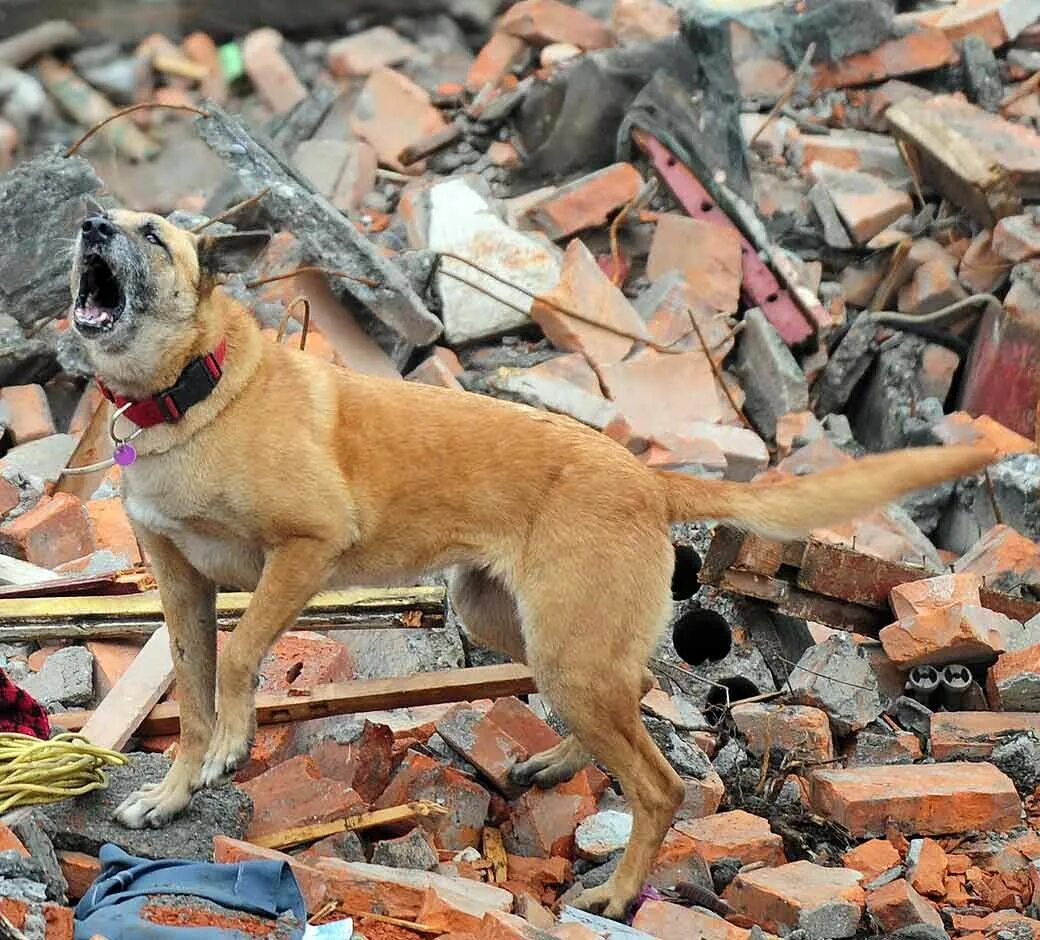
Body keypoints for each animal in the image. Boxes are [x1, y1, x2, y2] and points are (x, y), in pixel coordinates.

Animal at [69, 211, 994, 919]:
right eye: (108, 216)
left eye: (150, 234)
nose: (90, 224)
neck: (189, 392)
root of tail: (645, 477)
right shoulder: (180, 586)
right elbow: (190, 700)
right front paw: (173, 794)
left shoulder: (305, 547)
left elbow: (237, 664)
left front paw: (232, 744)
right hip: (521, 627)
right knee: (638, 693)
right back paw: (558, 766)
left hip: (563, 651)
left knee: (660, 786)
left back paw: (616, 896)